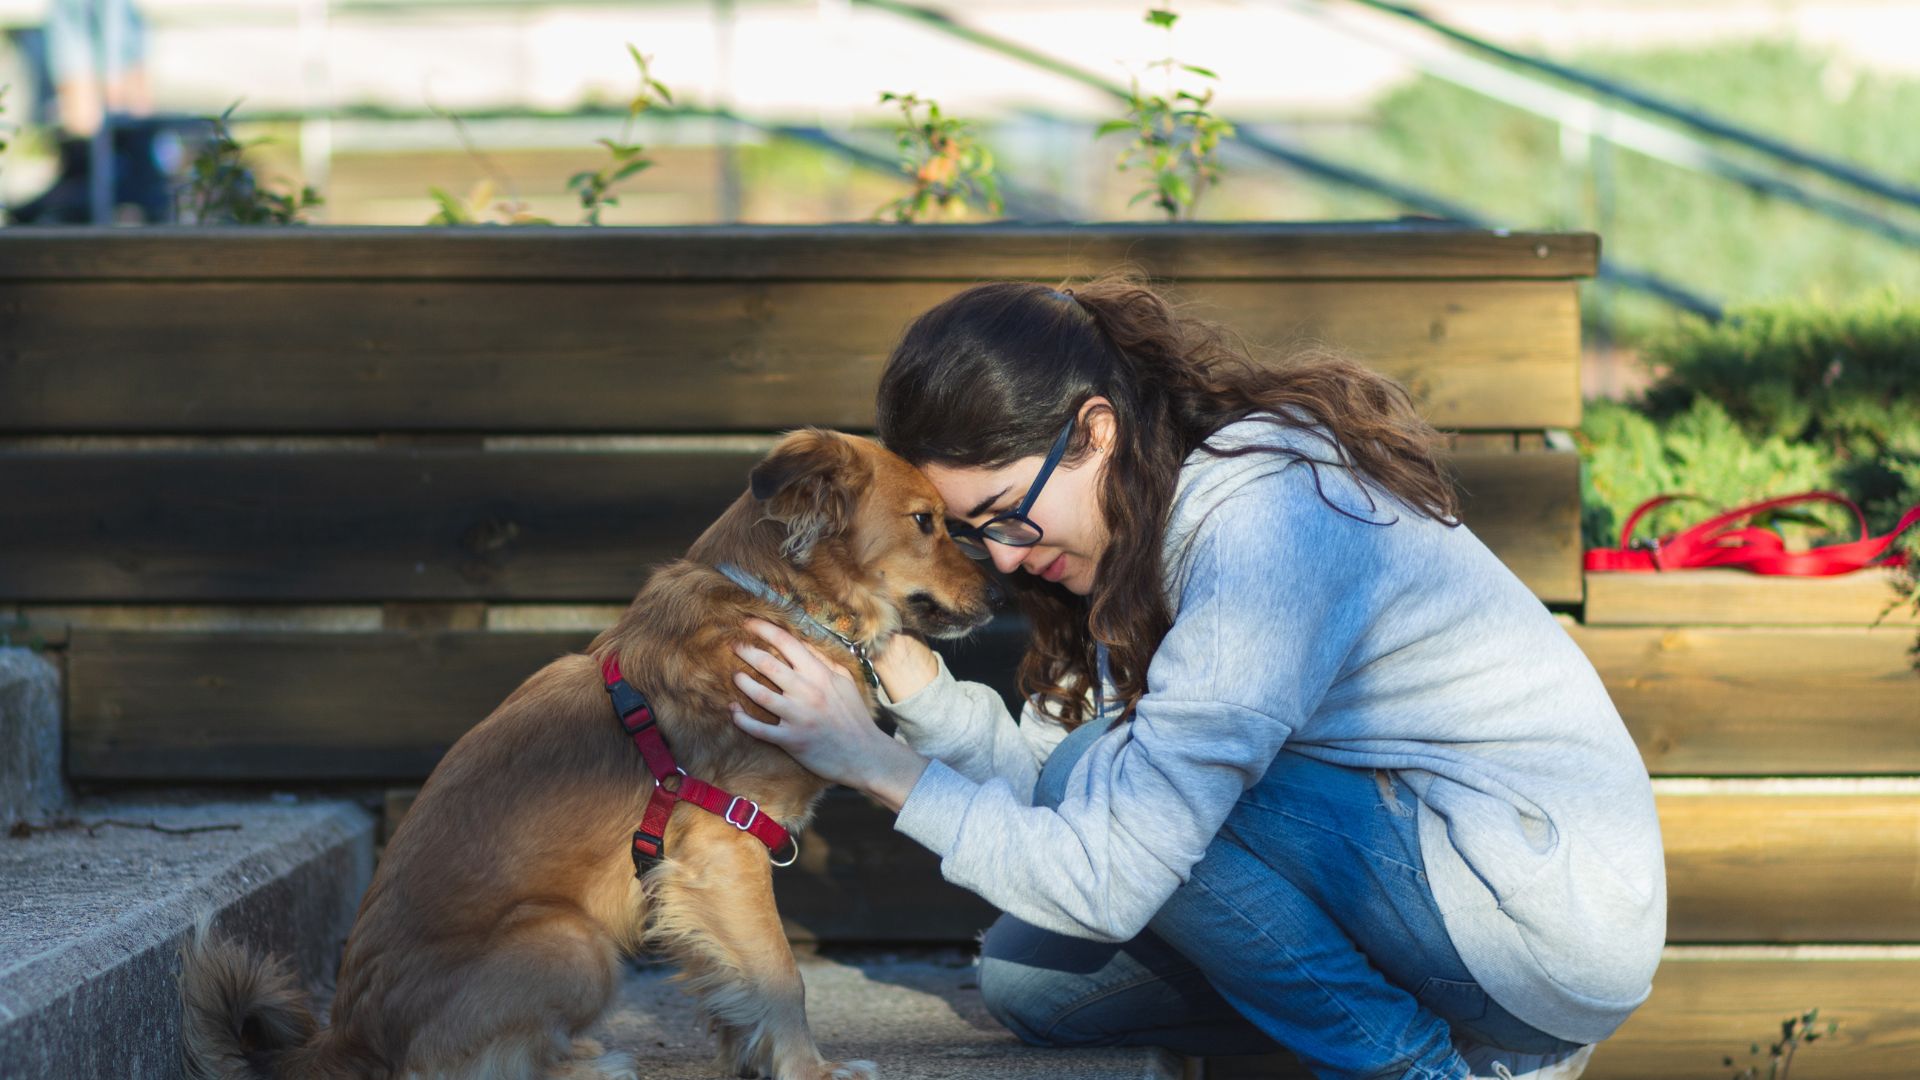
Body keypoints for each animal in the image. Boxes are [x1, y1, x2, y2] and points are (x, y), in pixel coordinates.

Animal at [180, 428, 998, 1076]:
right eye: (925, 522)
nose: (998, 597)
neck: (780, 603)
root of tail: (345, 1038)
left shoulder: (692, 875)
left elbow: (731, 977)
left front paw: (752, 1059)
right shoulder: (724, 844)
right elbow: (778, 976)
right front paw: (810, 1071)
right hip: (574, 941)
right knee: (446, 1069)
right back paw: (580, 1067)